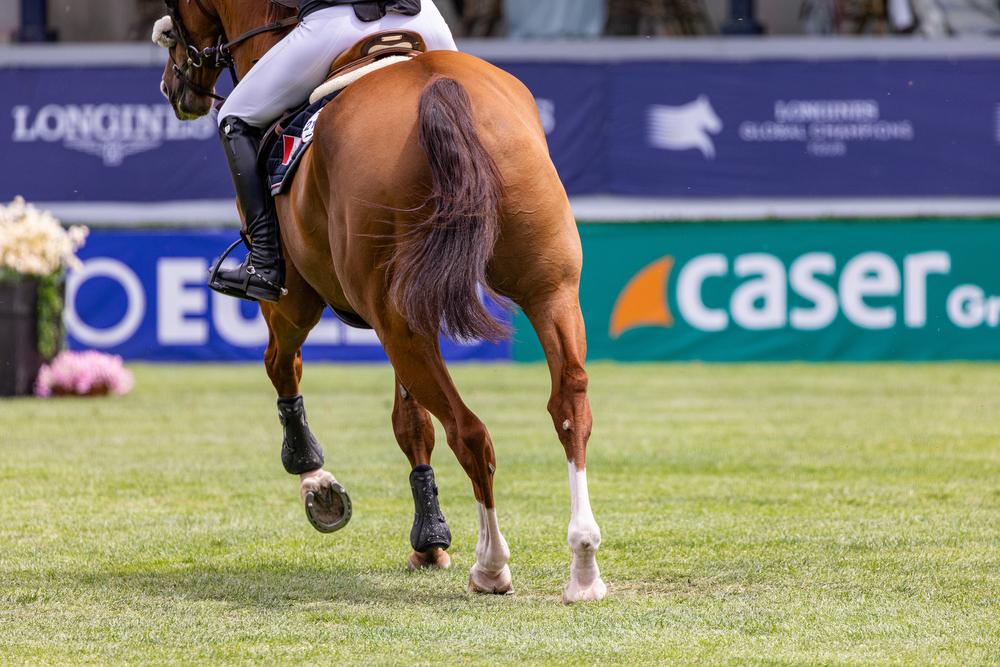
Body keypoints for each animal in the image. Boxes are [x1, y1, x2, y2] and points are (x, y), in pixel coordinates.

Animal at [158, 0, 606, 603]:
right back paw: (583, 565)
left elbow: (283, 367)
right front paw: (430, 537)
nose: (175, 86)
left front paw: (315, 480)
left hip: (381, 316)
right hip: (543, 289)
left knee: (470, 432)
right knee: (567, 408)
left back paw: (491, 565)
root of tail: (436, 88)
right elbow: (411, 422)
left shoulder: (295, 298)